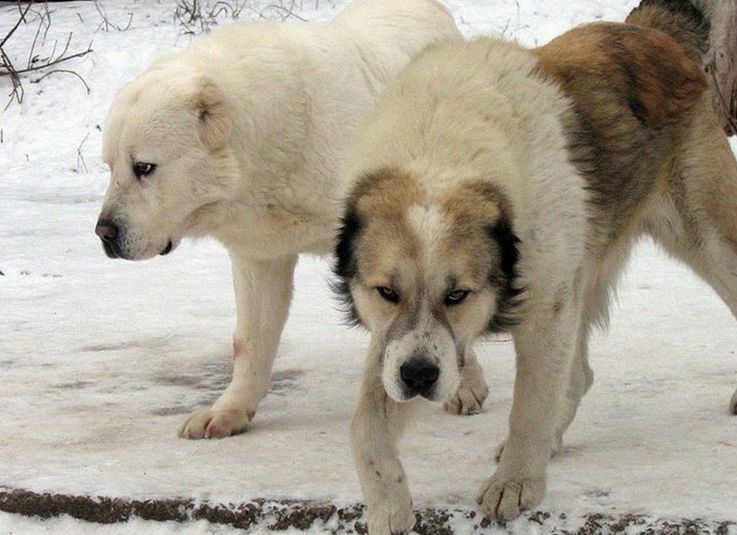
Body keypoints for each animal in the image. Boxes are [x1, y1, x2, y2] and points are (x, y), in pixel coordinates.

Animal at [95, 0, 480, 440]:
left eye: (144, 167)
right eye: (110, 167)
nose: (104, 232)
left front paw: (463, 386)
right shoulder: (259, 252)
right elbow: (249, 340)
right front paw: (229, 411)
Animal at [334, 1, 736, 532]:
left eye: (457, 294)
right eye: (387, 293)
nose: (419, 377)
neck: (439, 151)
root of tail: (649, 30)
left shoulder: (546, 311)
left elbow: (530, 406)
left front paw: (516, 481)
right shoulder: (394, 343)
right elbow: (365, 429)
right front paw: (389, 508)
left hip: (709, 240)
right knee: (579, 374)